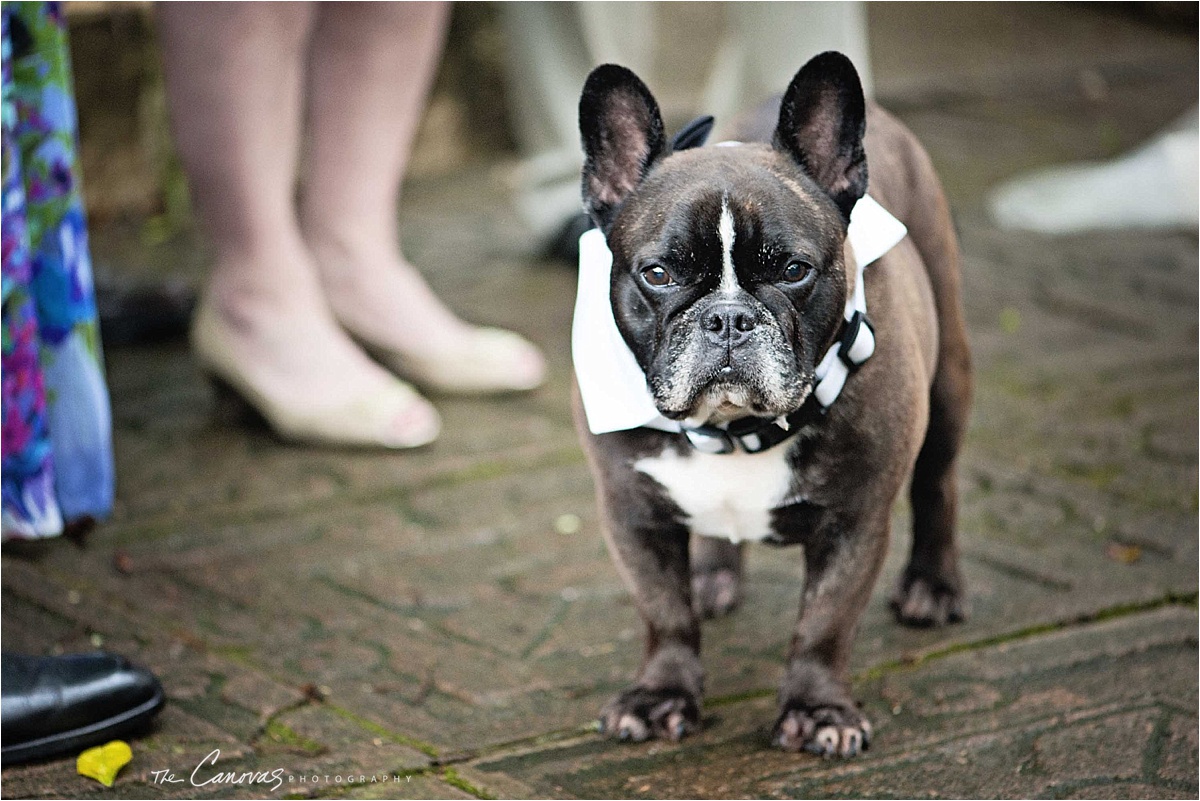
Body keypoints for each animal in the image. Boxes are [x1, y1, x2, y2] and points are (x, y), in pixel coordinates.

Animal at [571, 51, 974, 757]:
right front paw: (661, 694)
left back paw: (932, 585)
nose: (729, 318)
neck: (734, 429)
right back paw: (711, 578)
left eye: (793, 270)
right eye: (658, 274)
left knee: (937, 481)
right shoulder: (632, 514)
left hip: (947, 372)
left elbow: (824, 622)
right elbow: (663, 611)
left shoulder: (853, 520)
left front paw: (817, 710)